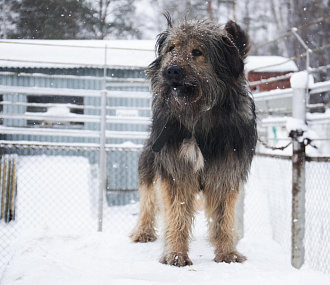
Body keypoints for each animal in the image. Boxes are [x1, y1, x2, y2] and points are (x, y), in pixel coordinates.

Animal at [130, 13, 256, 266]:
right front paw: (176, 254)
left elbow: (223, 215)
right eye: (171, 48)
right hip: (151, 160)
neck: (198, 115)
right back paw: (143, 231)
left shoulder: (225, 170)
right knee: (148, 199)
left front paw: (227, 252)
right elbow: (176, 213)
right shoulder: (176, 167)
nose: (171, 71)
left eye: (197, 52)